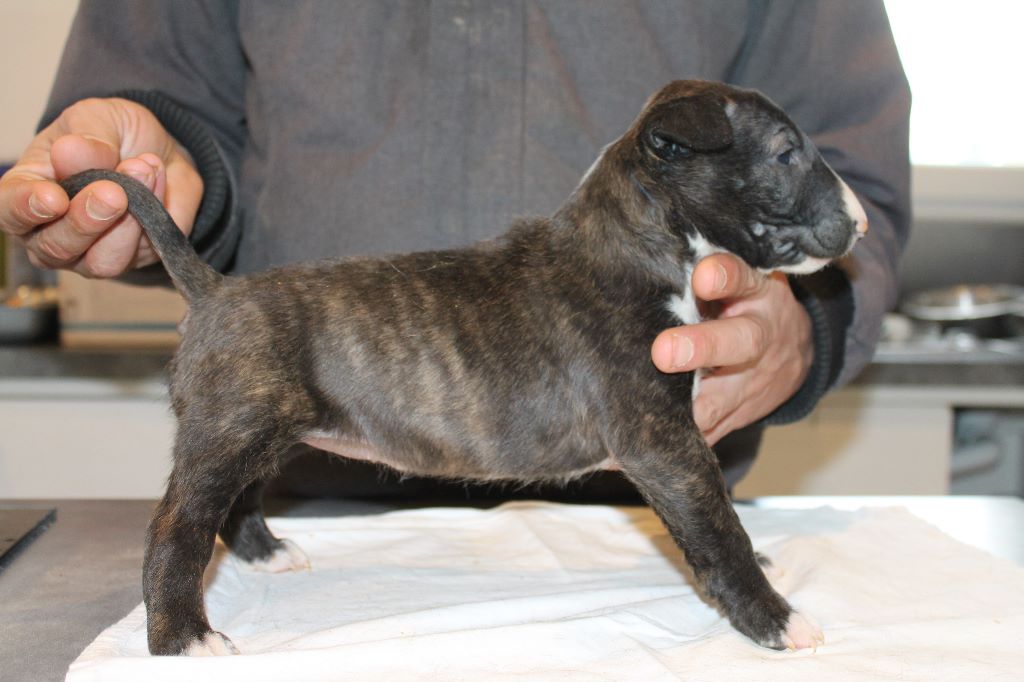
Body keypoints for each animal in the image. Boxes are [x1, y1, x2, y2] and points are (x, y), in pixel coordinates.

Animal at [61, 79, 867, 656]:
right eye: (786, 153)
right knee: (177, 528)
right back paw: (183, 639)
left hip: (260, 429)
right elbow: (716, 529)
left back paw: (269, 554)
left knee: (233, 504)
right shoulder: (662, 443)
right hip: (229, 431)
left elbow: (716, 521)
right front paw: (776, 620)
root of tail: (213, 286)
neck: (634, 241)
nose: (859, 224)